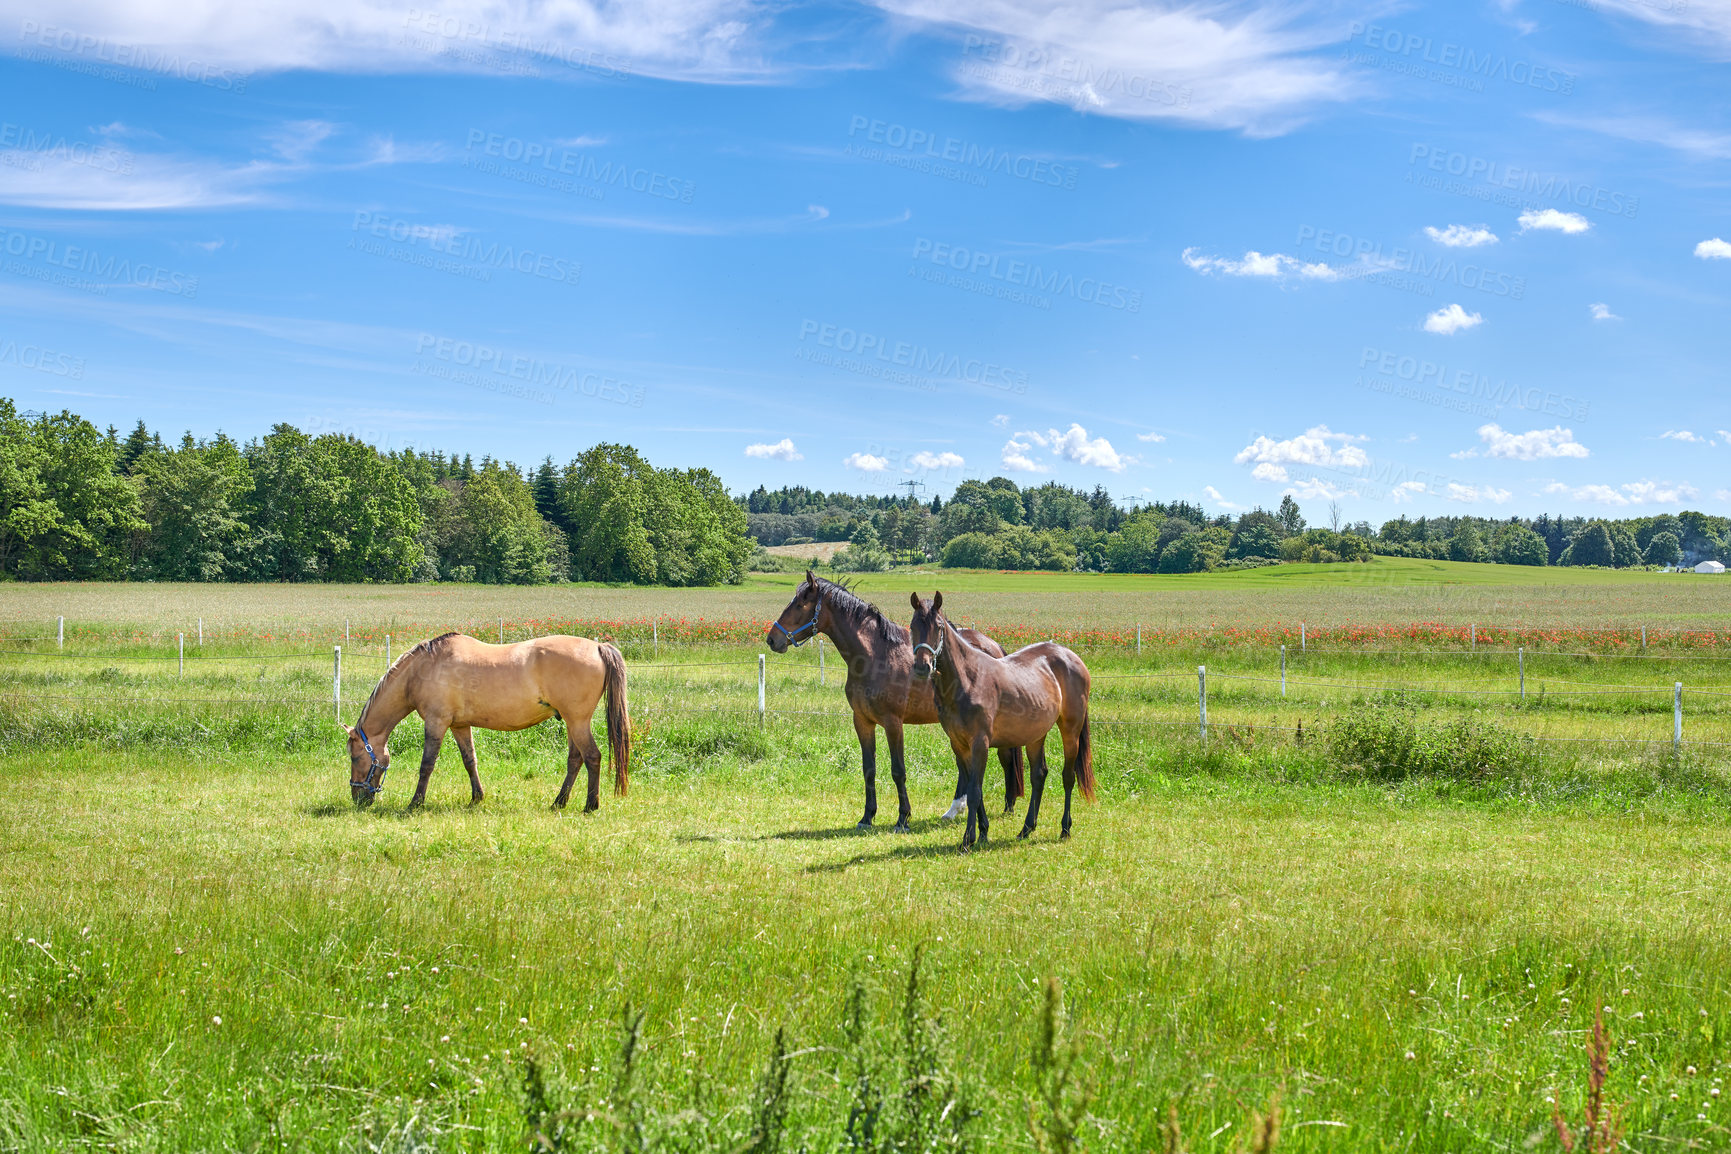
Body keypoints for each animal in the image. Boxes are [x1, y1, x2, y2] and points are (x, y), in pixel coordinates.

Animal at [337, 633, 630, 813]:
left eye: (355, 757)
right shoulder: (459, 726)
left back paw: (590, 805)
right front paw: (477, 798)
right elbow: (470, 761)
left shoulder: (436, 723)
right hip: (570, 722)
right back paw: (559, 802)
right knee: (575, 760)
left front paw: (415, 803)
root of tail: (597, 647)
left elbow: (426, 765)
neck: (424, 669)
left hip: (577, 721)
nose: (358, 799)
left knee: (592, 756)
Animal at [765, 574, 1017, 830]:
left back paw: (1007, 806)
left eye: (800, 605)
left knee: (1004, 758)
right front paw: (867, 816)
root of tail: (994, 647)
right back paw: (955, 809)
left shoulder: (893, 723)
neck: (875, 656)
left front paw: (903, 818)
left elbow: (898, 770)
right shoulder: (862, 721)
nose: (772, 639)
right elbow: (869, 769)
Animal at [907, 595, 1093, 847]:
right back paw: (1026, 828)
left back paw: (1065, 828)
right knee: (1039, 775)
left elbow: (974, 791)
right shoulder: (959, 745)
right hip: (1035, 735)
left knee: (1068, 776)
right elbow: (974, 789)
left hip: (1070, 730)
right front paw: (983, 832)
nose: (921, 667)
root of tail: (1071, 656)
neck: (968, 680)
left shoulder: (980, 743)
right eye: (912, 626)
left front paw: (968, 839)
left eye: (938, 626)